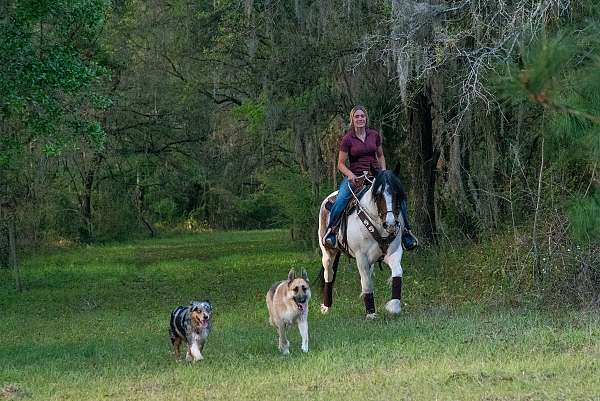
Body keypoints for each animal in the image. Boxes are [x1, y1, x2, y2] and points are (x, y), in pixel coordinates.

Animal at [316, 167, 406, 318]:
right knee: (329, 274)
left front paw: (394, 306)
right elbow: (367, 283)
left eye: (397, 193)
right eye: (378, 194)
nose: (391, 224)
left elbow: (397, 273)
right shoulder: (361, 256)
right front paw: (371, 314)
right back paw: (326, 307)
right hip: (327, 253)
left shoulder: (393, 253)